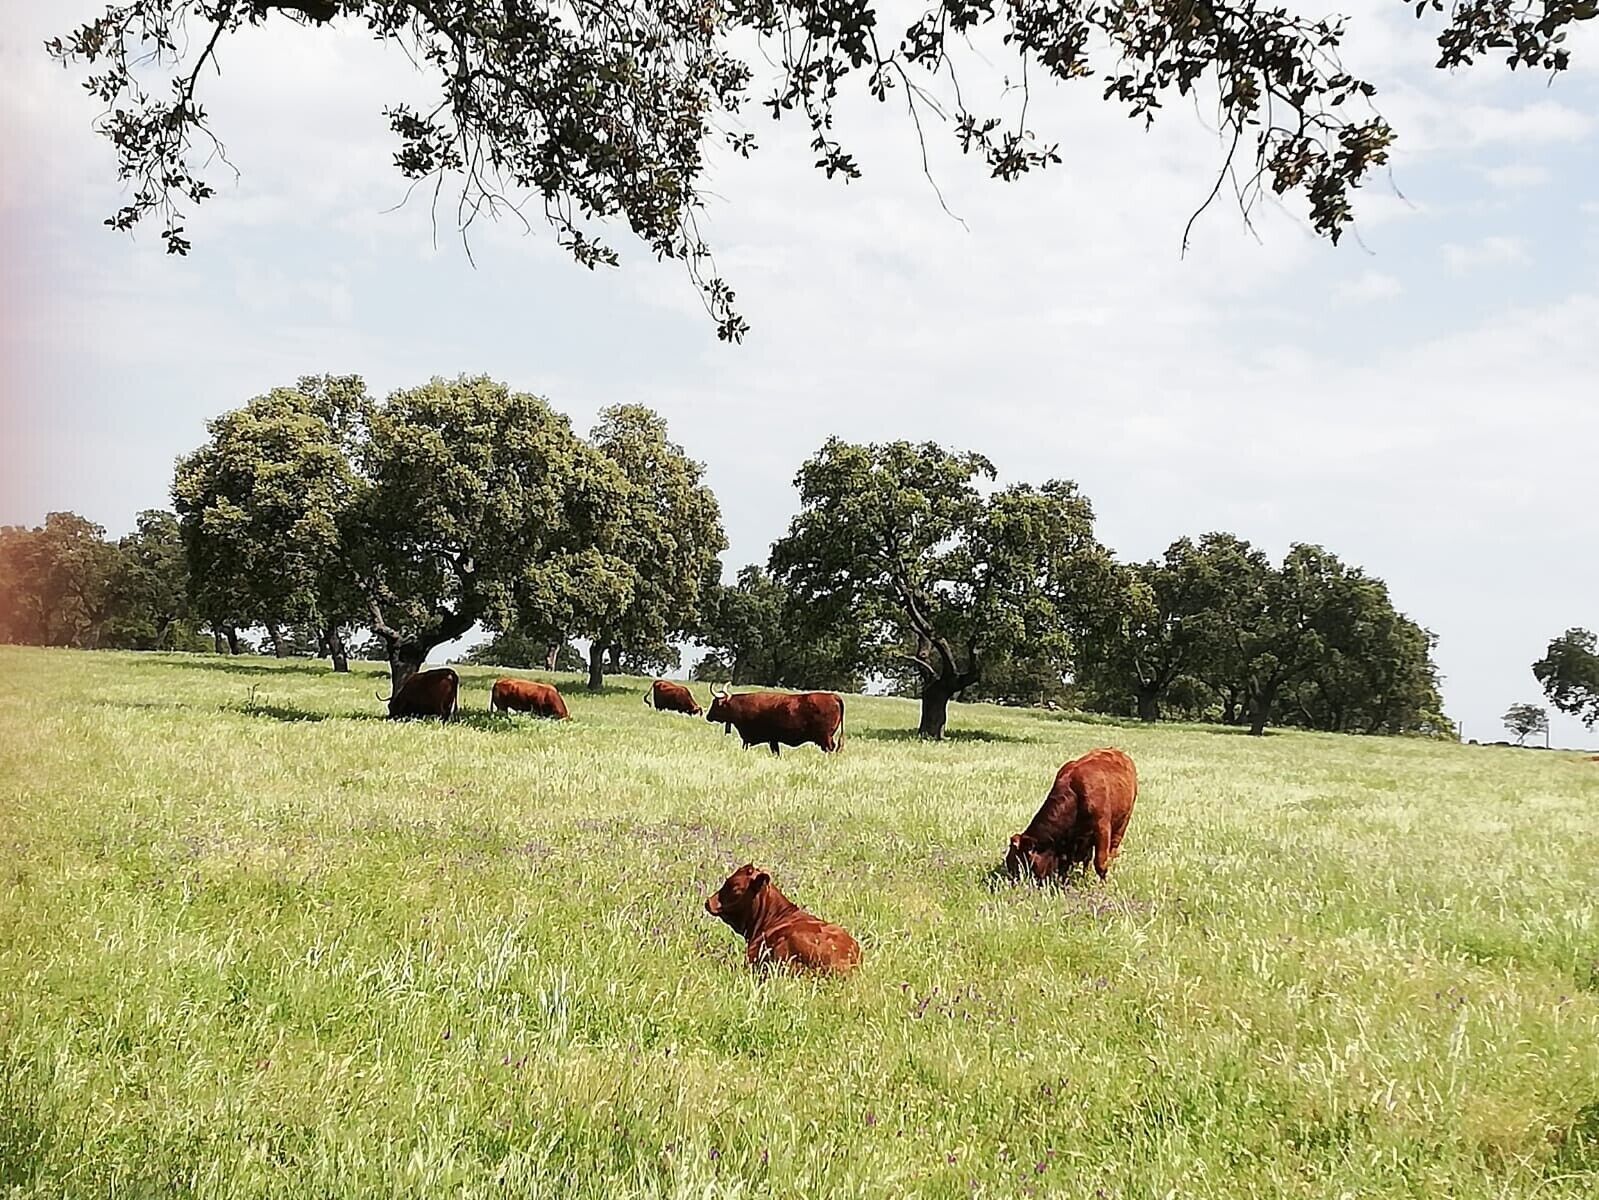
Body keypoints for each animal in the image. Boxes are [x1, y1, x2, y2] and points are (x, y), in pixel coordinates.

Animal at [1005, 747, 1138, 883]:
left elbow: (1100, 862)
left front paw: (1102, 883)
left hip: (1124, 820)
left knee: (1113, 848)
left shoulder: (1102, 828)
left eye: (1022, 862)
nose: (1015, 881)